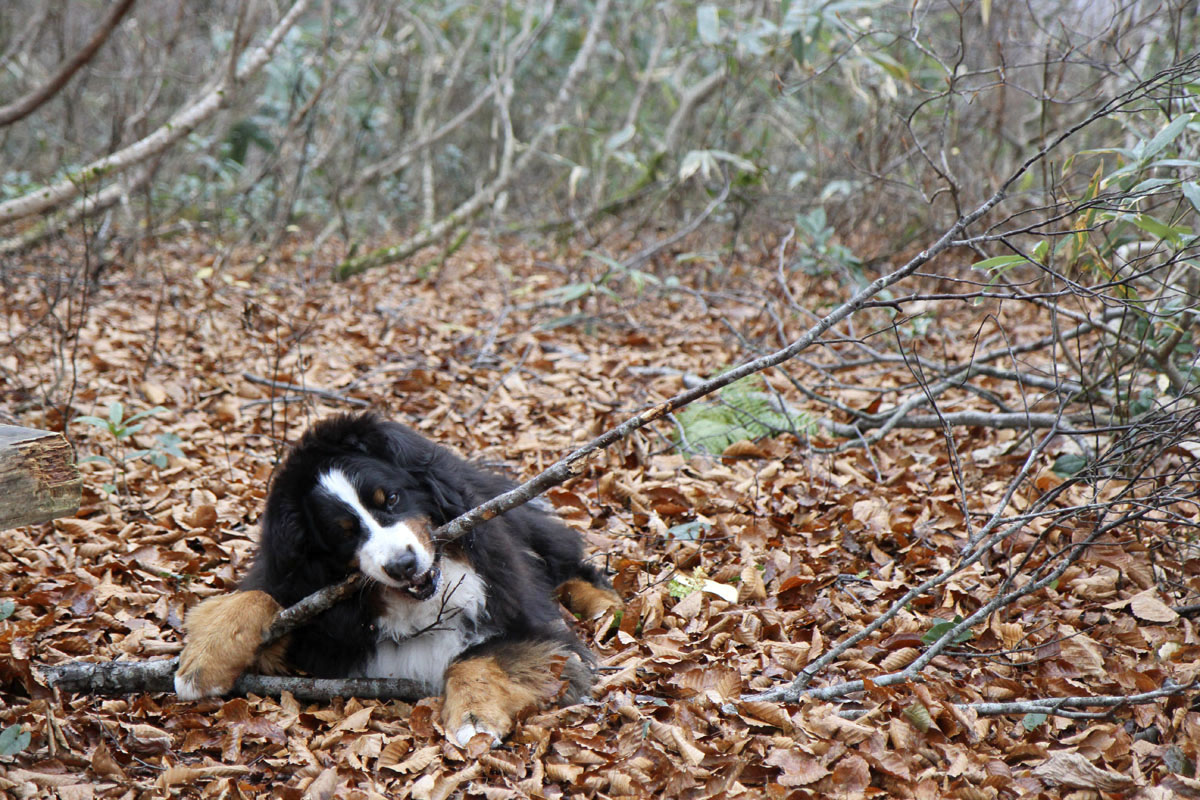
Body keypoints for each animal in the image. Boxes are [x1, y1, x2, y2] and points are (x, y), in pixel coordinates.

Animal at [174, 417, 624, 748]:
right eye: (344, 532)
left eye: (390, 499)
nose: (403, 565)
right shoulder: (322, 634)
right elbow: (259, 596)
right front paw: (201, 664)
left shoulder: (526, 621)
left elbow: (476, 655)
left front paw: (473, 719)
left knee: (566, 562)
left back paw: (609, 607)